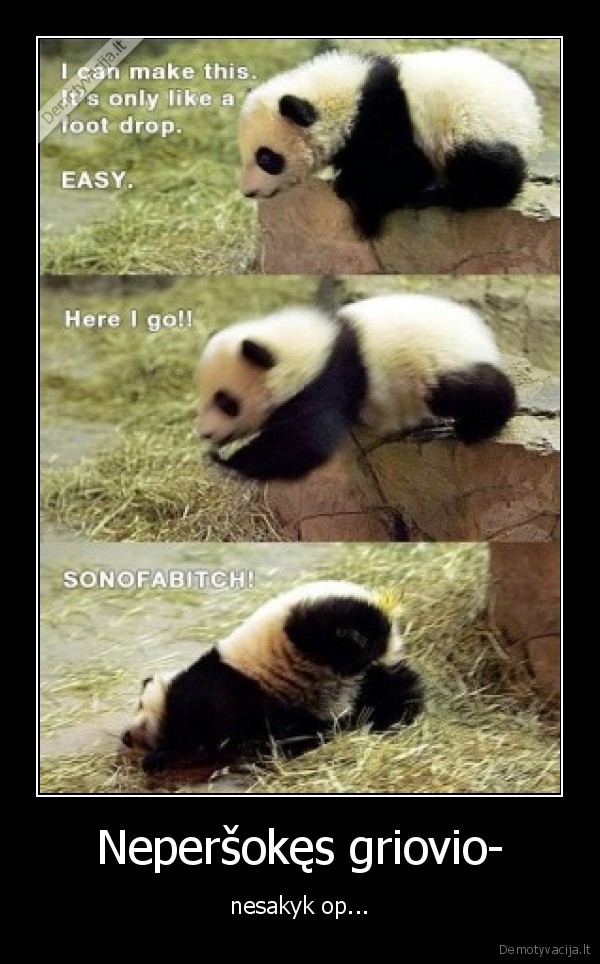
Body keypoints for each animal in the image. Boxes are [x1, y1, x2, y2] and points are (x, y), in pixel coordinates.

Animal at [121, 581, 424, 773]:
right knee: (391, 691)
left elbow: (201, 730)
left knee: (334, 629)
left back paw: (355, 647)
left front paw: (158, 758)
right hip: (375, 676)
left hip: (316, 623)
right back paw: (390, 718)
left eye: (139, 704)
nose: (125, 737)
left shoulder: (213, 690)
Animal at [196, 293, 516, 482]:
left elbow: (303, 443)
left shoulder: (329, 381)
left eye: (226, 402)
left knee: (469, 392)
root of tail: (485, 339)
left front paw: (226, 460)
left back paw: (466, 429)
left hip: (441, 365)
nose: (205, 433)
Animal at [239, 48, 542, 236]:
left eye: (267, 159)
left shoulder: (387, 120)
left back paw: (449, 195)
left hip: (475, 126)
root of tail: (532, 113)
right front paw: (345, 180)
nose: (248, 192)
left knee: (488, 168)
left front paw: (364, 212)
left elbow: (402, 172)